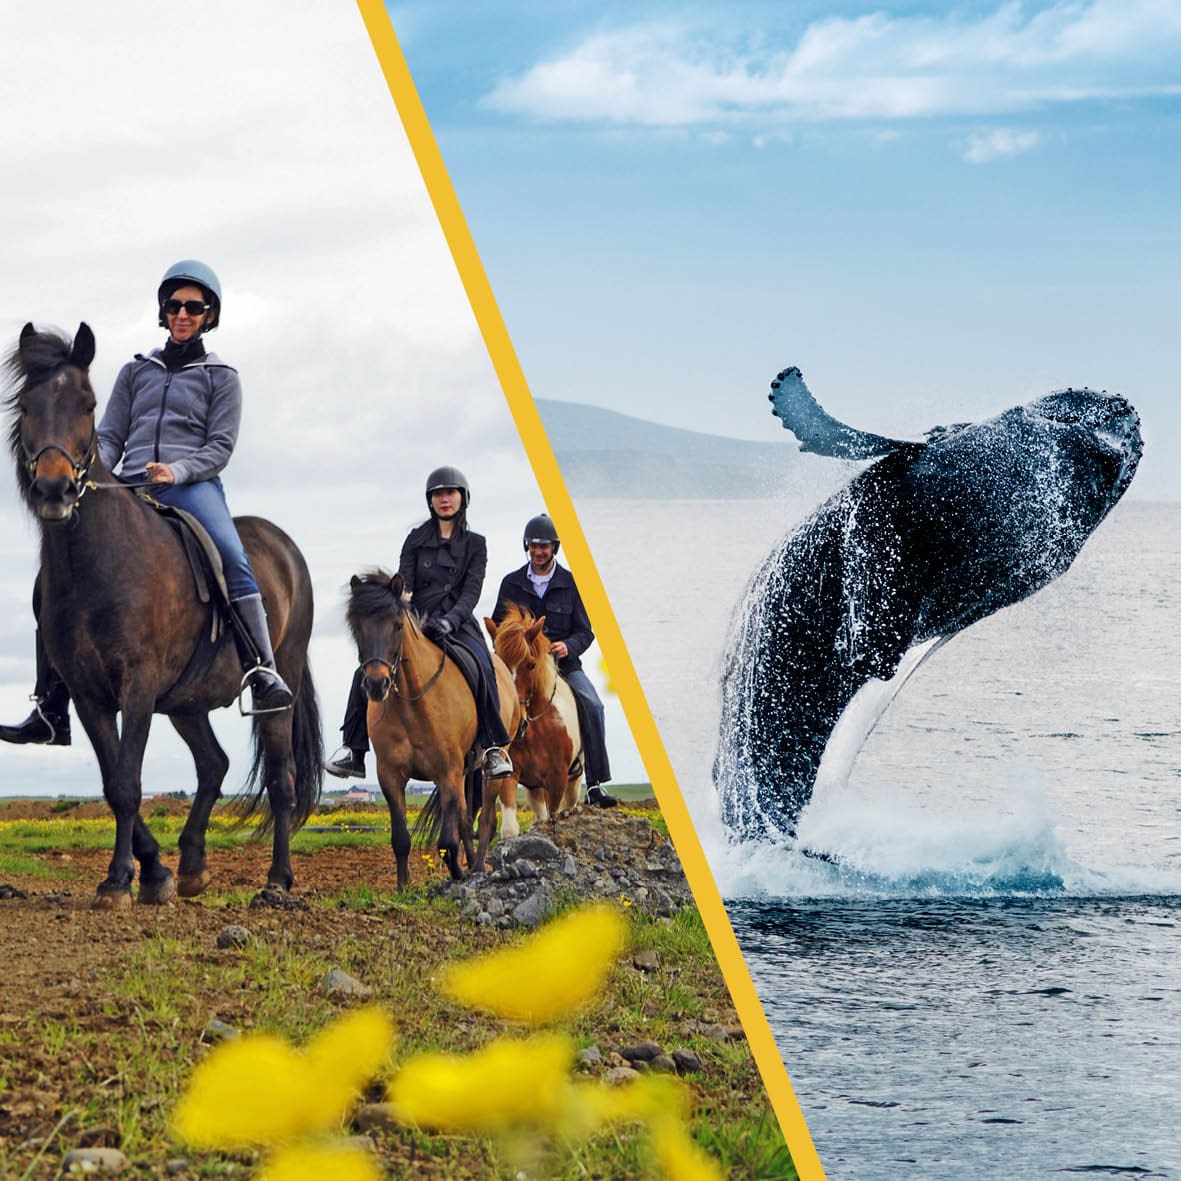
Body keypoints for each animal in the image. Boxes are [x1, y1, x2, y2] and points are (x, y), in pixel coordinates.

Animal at [4, 323, 323, 908]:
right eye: (27, 405)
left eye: (87, 404)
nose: (55, 490)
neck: (101, 562)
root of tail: (283, 546)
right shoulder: (88, 694)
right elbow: (114, 782)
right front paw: (154, 873)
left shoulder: (138, 684)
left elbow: (128, 783)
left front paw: (119, 881)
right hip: (186, 702)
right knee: (214, 763)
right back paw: (194, 865)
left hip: (277, 687)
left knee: (282, 781)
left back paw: (277, 880)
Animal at [344, 569, 520, 885]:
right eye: (357, 627)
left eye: (397, 625)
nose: (376, 685)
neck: (413, 703)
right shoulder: (390, 776)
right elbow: (401, 838)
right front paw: (404, 887)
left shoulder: (447, 772)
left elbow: (447, 840)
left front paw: (457, 875)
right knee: (466, 818)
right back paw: (470, 864)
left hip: (489, 767)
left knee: (486, 819)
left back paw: (477, 868)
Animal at [480, 604, 583, 870]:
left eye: (530, 665)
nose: (517, 721)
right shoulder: (510, 772)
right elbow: (509, 828)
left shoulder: (557, 778)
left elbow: (554, 817)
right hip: (535, 788)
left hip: (573, 781)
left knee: (568, 805)